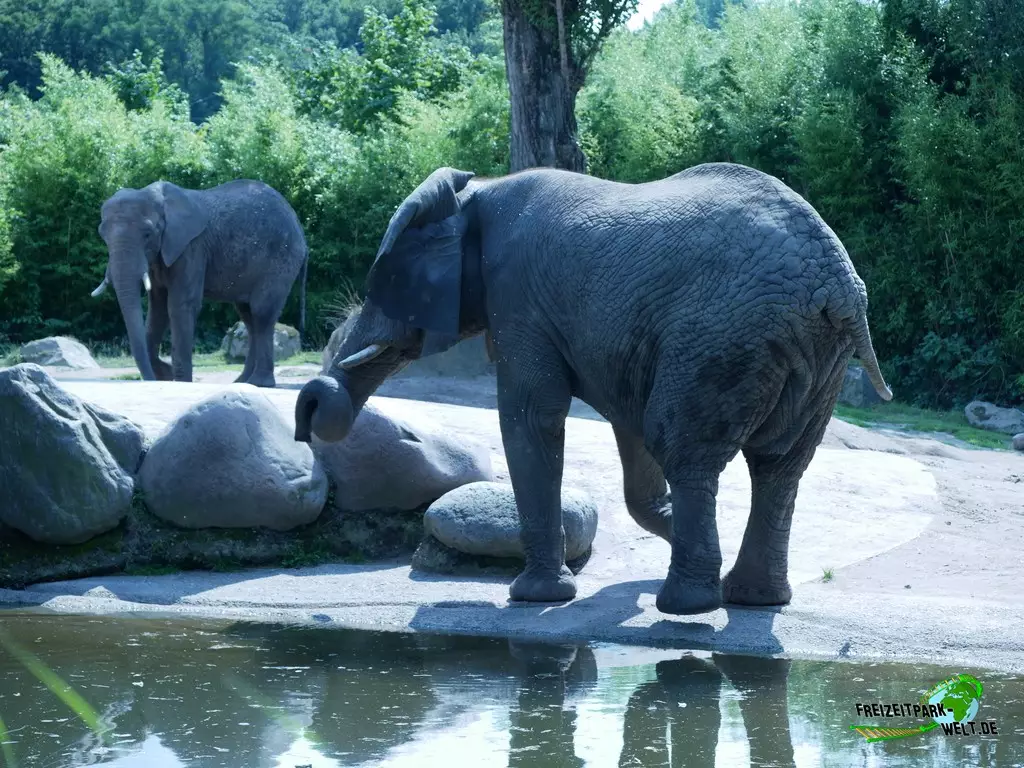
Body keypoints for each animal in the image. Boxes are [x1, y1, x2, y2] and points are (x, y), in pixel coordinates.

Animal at [91, 179, 308, 388]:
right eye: (102, 235)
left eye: (147, 234)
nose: (152, 380)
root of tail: (299, 227)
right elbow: (158, 310)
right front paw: (166, 374)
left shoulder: (192, 248)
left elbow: (180, 305)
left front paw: (180, 381)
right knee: (249, 316)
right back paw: (243, 382)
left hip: (281, 260)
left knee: (261, 313)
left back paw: (259, 383)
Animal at [294, 162, 893, 615]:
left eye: (389, 283)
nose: (312, 410)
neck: (476, 188)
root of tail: (837, 285)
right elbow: (629, 433)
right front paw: (662, 533)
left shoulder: (519, 299)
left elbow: (531, 417)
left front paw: (534, 598)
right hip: (812, 355)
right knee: (780, 467)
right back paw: (749, 598)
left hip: (723, 334)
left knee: (687, 446)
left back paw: (687, 605)